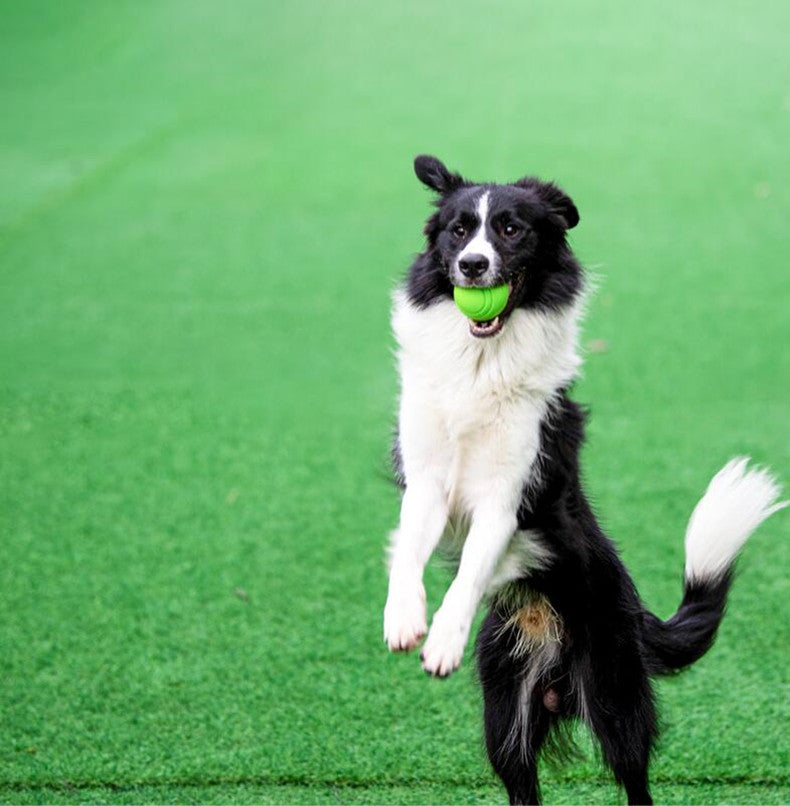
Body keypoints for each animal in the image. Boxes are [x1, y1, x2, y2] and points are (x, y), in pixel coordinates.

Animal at [384, 155, 784, 804]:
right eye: (458, 231)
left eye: (512, 230)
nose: (472, 266)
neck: (482, 363)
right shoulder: (427, 480)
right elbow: (408, 552)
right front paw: (404, 620)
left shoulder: (509, 496)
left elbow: (471, 569)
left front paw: (442, 640)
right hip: (505, 714)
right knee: (522, 782)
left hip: (614, 698)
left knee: (636, 780)